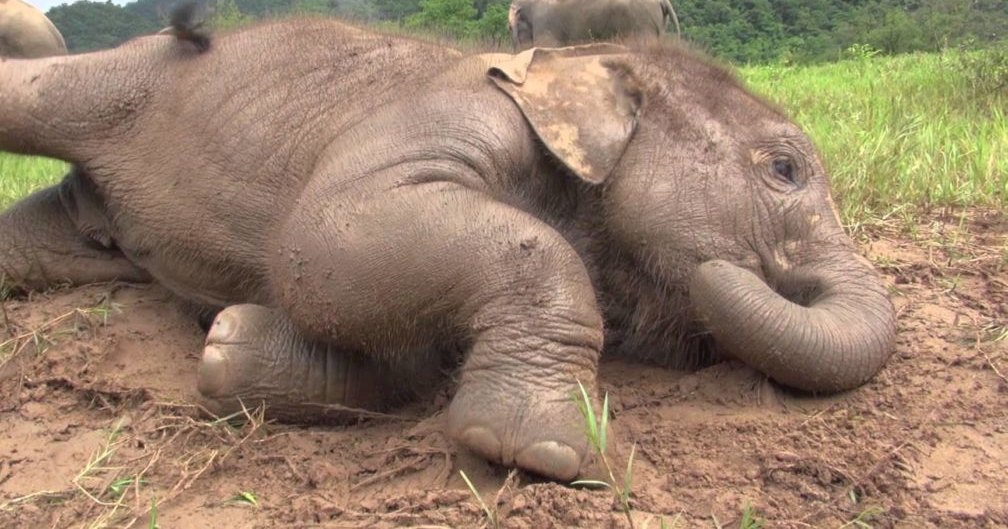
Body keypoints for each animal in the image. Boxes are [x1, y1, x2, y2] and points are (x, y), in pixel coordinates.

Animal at [0, 11, 896, 481]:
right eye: (784, 169)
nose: (716, 269)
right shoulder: (457, 110)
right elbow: (325, 237)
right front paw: (537, 451)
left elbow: (391, 341)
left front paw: (231, 346)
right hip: (117, 80)